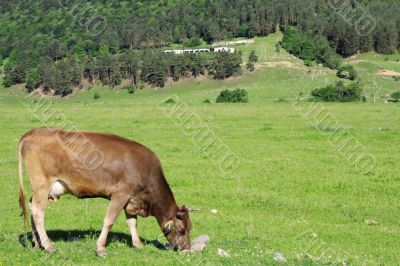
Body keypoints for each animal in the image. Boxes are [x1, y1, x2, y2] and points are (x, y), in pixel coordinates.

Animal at [18, 128, 192, 256]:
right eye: (182, 230)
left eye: (190, 228)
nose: (187, 250)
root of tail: (35, 131)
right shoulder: (120, 194)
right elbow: (109, 220)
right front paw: (100, 248)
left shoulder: (131, 200)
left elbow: (132, 222)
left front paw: (138, 244)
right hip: (42, 183)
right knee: (38, 211)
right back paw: (48, 246)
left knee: (31, 207)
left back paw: (37, 243)